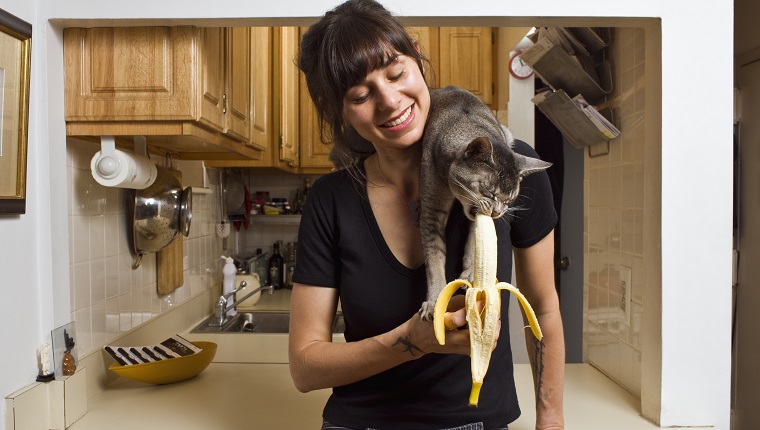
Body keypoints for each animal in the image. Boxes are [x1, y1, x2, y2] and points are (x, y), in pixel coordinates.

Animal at [418, 85, 548, 320]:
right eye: (489, 192)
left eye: (509, 200)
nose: (497, 212)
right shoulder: (431, 210)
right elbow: (434, 261)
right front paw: (434, 302)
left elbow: (473, 241)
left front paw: (470, 273)